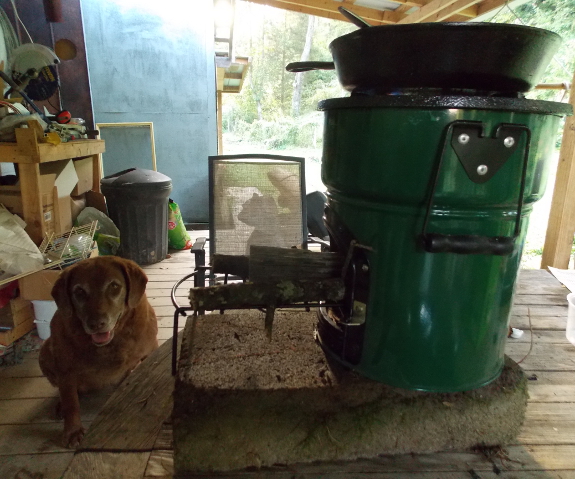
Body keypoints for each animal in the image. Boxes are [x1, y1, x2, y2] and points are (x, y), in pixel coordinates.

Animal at [38, 256, 158, 448]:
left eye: (114, 286)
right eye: (79, 291)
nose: (96, 323)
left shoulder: (151, 349)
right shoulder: (65, 370)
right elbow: (71, 403)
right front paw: (73, 431)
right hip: (45, 352)